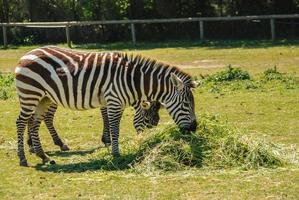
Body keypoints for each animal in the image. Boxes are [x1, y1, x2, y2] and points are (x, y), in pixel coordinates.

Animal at [26, 100, 162, 153]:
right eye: (148, 118)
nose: (155, 124)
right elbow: (106, 115)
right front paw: (107, 139)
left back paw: (31, 144)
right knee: (45, 118)